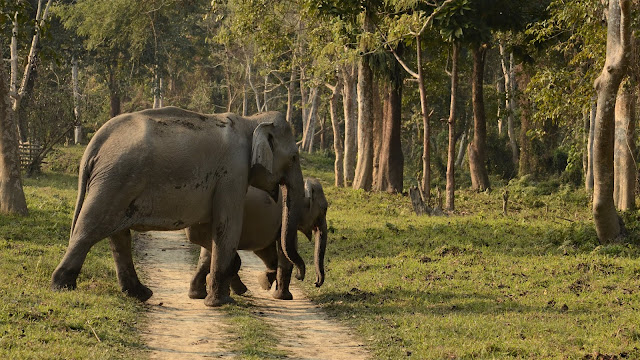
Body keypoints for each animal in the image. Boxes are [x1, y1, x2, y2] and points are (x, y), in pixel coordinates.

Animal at [50, 106, 304, 306]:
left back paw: (140, 294)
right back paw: (61, 286)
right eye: (294, 157)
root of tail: (96, 141)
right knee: (90, 228)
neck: (250, 121)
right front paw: (222, 302)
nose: (302, 277)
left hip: (115, 183)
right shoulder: (233, 172)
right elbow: (227, 225)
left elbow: (205, 232)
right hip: (115, 179)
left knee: (117, 235)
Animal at [185, 178, 324, 300]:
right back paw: (233, 289)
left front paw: (265, 282)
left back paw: (198, 294)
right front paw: (283, 297)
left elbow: (265, 250)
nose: (316, 283)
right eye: (324, 208)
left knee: (207, 254)